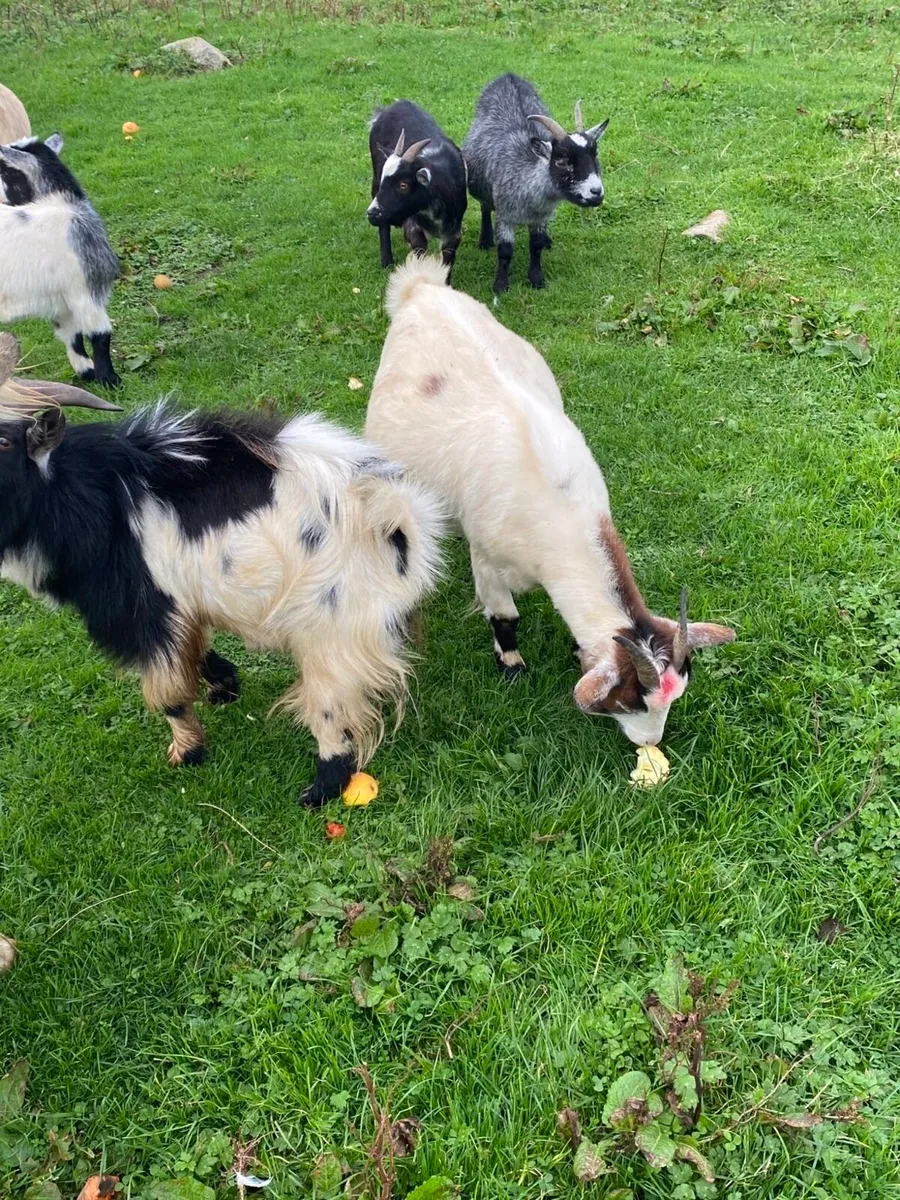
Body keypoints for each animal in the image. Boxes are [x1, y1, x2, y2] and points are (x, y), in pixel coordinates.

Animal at [0, 134, 120, 387]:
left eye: (4, 171)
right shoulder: (84, 289)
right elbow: (100, 333)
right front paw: (110, 380)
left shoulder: (60, 300)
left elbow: (72, 335)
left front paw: (87, 373)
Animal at [0, 333, 443, 805]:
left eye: (6, 443)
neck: (91, 496)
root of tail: (399, 523)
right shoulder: (181, 604)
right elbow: (199, 648)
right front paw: (225, 686)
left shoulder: (144, 612)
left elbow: (169, 694)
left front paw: (187, 752)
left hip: (331, 631)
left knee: (332, 714)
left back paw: (317, 792)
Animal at [366, 259, 734, 748]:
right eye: (628, 702)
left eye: (675, 696)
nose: (649, 743)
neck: (559, 511)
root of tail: (420, 289)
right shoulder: (488, 557)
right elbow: (504, 617)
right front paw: (512, 667)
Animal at [368, 101, 467, 278]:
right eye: (385, 180)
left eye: (403, 185)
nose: (372, 213)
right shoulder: (412, 225)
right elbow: (419, 248)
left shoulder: (453, 230)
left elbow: (448, 259)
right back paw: (387, 261)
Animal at [462, 73, 609, 292]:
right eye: (561, 160)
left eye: (595, 155)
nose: (596, 192)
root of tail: (508, 76)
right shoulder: (505, 214)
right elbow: (505, 251)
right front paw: (500, 285)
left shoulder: (541, 216)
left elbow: (536, 245)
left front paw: (536, 279)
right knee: (485, 207)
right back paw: (485, 240)